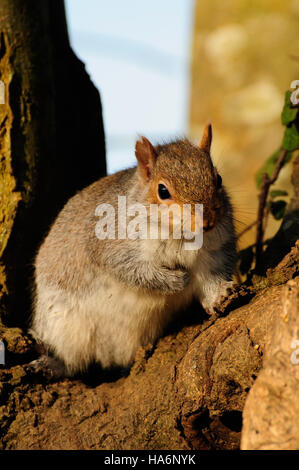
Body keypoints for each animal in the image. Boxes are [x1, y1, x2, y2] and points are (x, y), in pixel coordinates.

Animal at [29, 125, 238, 378]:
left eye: (218, 179)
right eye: (162, 191)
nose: (207, 222)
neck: (181, 237)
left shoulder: (215, 253)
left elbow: (210, 280)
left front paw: (220, 294)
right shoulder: (110, 245)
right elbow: (131, 271)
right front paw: (176, 280)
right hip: (61, 323)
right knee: (70, 361)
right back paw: (52, 365)